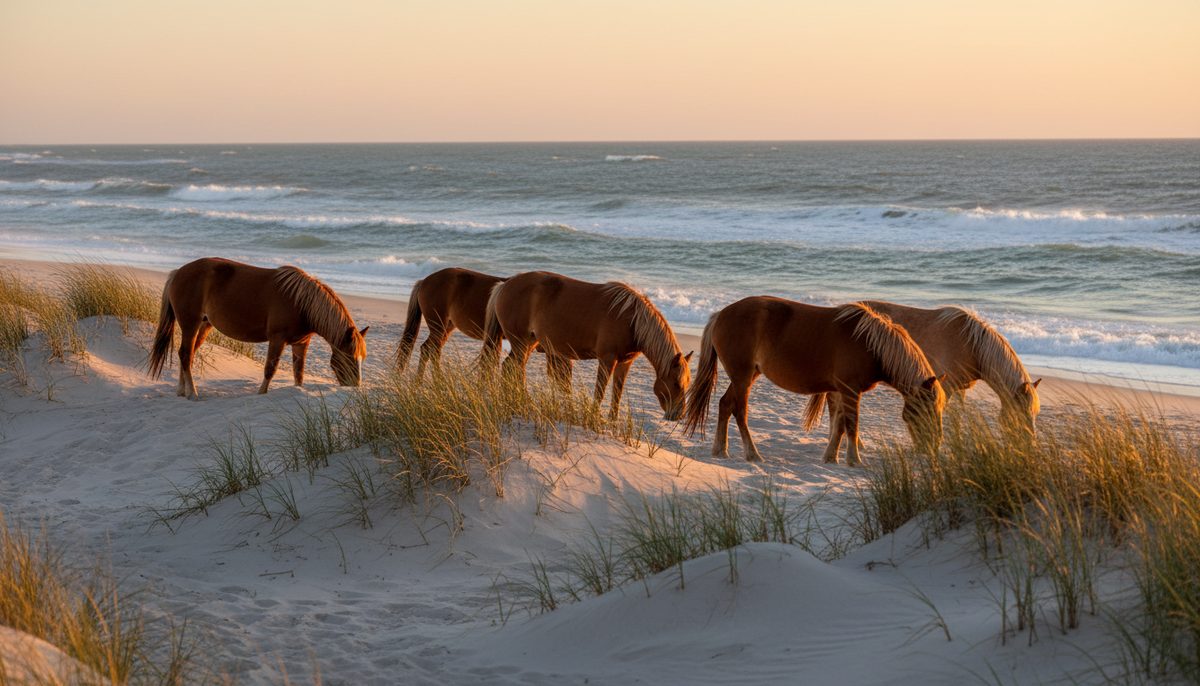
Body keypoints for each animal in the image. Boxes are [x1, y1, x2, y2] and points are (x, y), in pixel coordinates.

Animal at [149, 257, 368, 398]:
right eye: (349, 357)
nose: (355, 387)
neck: (301, 303)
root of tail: (178, 272)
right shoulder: (277, 339)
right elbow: (270, 369)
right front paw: (261, 394)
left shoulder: (301, 343)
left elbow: (299, 373)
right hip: (190, 324)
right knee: (185, 354)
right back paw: (193, 393)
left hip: (203, 326)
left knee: (187, 354)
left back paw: (182, 391)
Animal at [480, 271, 692, 420]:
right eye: (675, 383)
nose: (678, 415)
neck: (632, 320)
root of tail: (505, 284)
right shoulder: (607, 359)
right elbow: (600, 391)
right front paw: (593, 418)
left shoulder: (624, 363)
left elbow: (617, 393)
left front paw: (613, 422)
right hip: (521, 343)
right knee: (514, 369)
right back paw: (521, 401)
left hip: (530, 343)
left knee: (511, 368)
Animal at [684, 297, 946, 465]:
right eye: (925, 411)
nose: (933, 446)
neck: (870, 344)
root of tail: (720, 315)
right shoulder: (850, 390)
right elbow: (851, 424)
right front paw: (854, 460)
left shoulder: (840, 391)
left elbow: (839, 424)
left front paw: (831, 457)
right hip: (743, 377)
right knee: (739, 411)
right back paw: (753, 454)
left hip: (747, 376)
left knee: (725, 405)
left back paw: (721, 450)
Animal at [805, 302, 1040, 434]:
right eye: (1020, 414)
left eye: (1033, 413)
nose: (1029, 442)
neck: (972, 345)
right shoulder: (946, 386)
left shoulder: (959, 389)